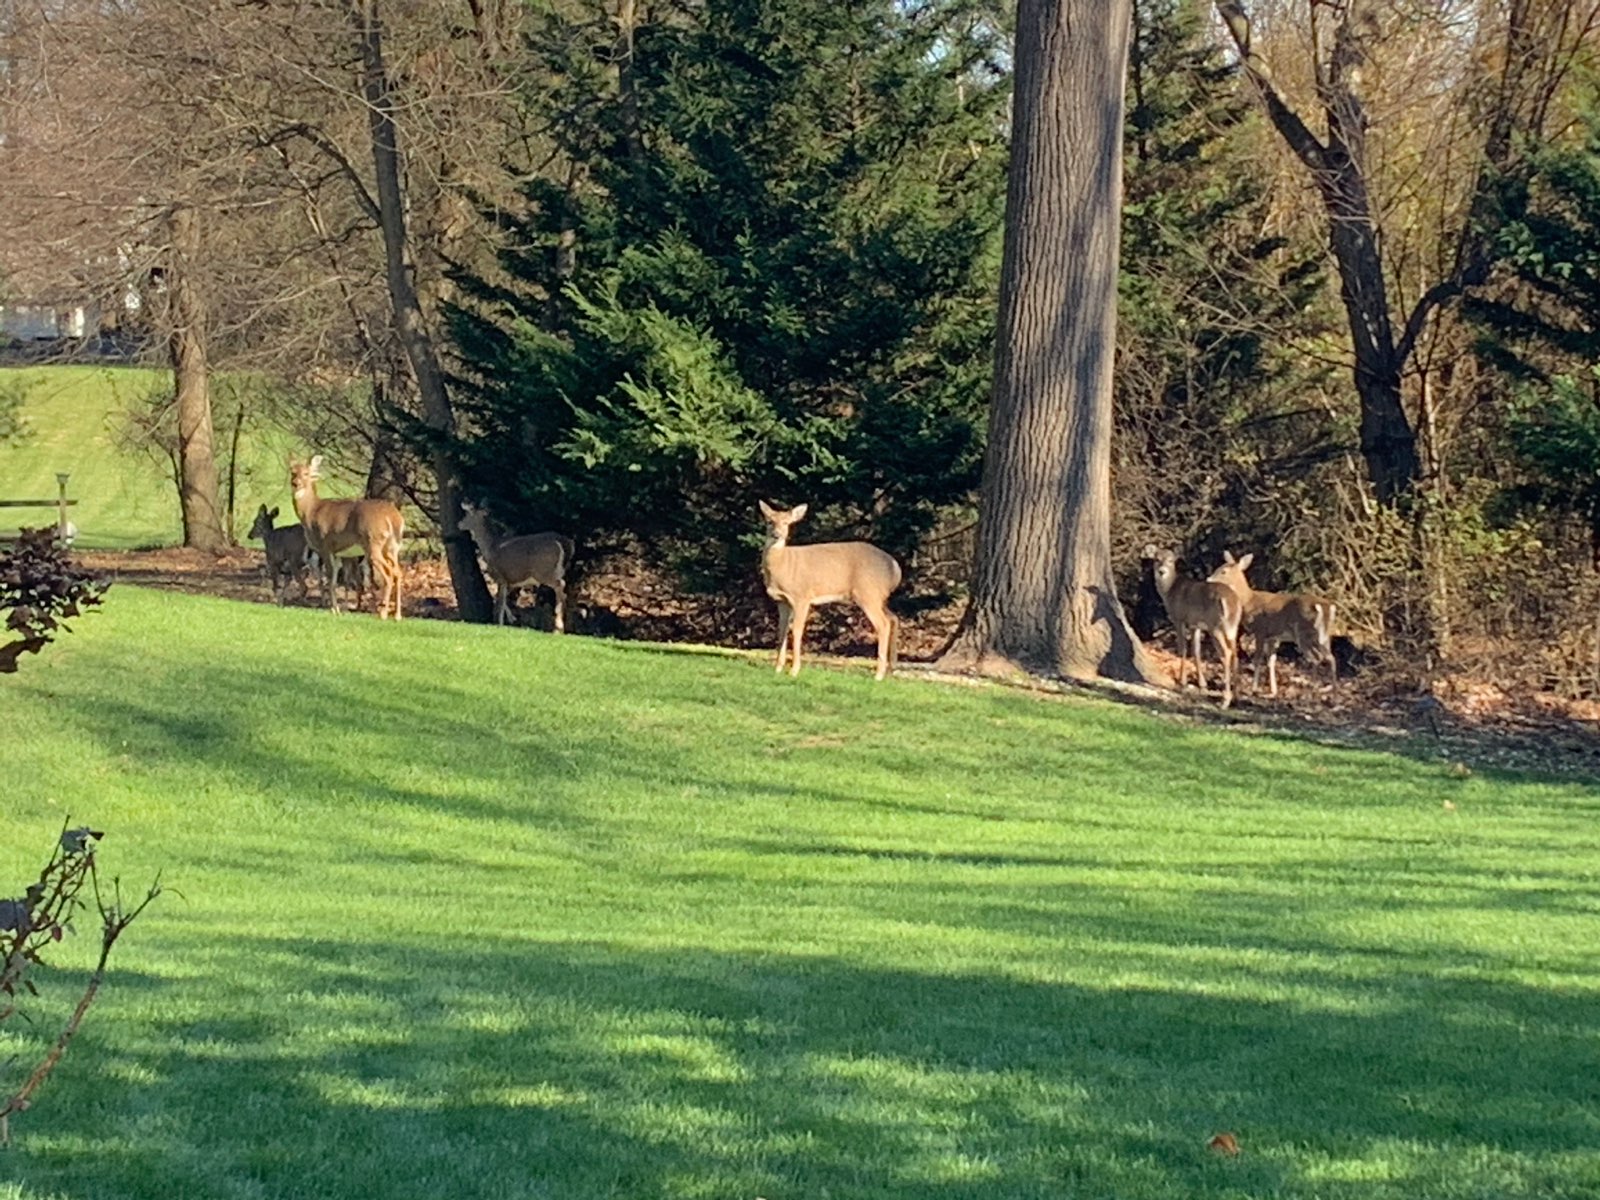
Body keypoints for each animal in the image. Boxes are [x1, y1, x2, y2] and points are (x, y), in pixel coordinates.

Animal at [287, 456, 405, 620]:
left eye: (306, 473)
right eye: (292, 472)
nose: (295, 483)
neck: (311, 512)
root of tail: (393, 518)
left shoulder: (326, 545)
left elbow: (330, 578)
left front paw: (334, 610)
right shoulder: (338, 553)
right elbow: (335, 580)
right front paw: (337, 609)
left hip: (373, 542)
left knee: (388, 574)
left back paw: (383, 614)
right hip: (392, 547)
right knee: (398, 572)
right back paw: (398, 615)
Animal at [458, 503, 575, 632]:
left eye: (468, 514)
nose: (459, 524)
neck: (490, 548)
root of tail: (564, 542)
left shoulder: (500, 576)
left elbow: (500, 600)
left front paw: (500, 623)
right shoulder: (510, 581)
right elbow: (502, 600)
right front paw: (511, 619)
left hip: (543, 571)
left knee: (561, 585)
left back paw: (558, 626)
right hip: (558, 570)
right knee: (562, 588)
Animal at [758, 500, 902, 680]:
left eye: (787, 523)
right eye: (770, 521)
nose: (777, 535)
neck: (783, 566)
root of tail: (895, 568)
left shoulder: (802, 596)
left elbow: (797, 630)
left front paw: (794, 670)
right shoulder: (781, 601)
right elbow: (781, 631)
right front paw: (777, 668)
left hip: (868, 593)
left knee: (883, 624)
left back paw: (879, 674)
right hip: (879, 597)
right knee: (893, 618)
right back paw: (891, 669)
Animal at [1144, 544, 1242, 708]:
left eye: (1171, 560)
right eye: (1157, 559)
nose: (1161, 571)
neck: (1170, 591)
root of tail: (1231, 601)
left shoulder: (1179, 618)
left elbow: (1182, 649)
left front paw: (1182, 683)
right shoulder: (1195, 625)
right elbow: (1196, 650)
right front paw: (1202, 686)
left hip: (1215, 625)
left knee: (1226, 652)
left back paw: (1225, 700)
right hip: (1232, 626)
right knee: (1235, 652)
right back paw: (1235, 697)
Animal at [1207, 550, 1337, 697]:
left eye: (1223, 571)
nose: (1208, 579)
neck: (1248, 601)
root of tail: (1325, 607)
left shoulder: (1260, 630)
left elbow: (1257, 659)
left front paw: (1254, 689)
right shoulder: (1273, 637)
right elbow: (1271, 661)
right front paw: (1273, 691)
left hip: (1305, 633)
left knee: (1316, 658)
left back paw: (1313, 691)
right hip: (1325, 635)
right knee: (1331, 657)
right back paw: (1333, 690)